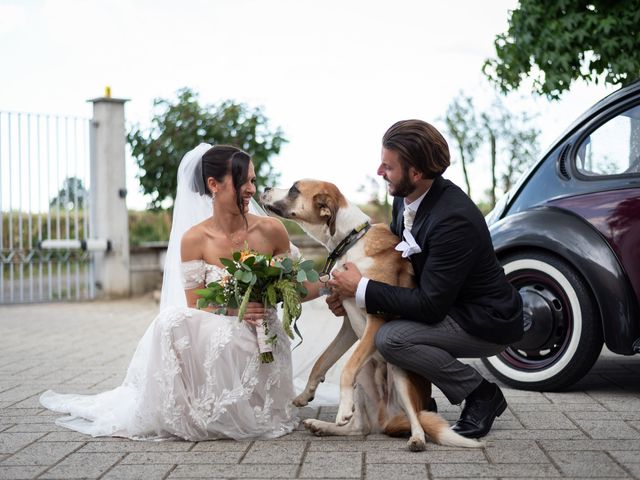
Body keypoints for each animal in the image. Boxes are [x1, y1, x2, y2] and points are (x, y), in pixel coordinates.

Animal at [258, 179, 480, 450]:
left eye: (294, 190)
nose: (264, 188)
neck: (351, 242)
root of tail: (386, 418)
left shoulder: (376, 320)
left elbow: (345, 369)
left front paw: (343, 408)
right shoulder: (347, 329)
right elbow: (322, 361)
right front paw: (305, 395)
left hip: (400, 374)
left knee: (417, 419)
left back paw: (416, 439)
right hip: (365, 378)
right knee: (359, 428)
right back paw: (322, 426)